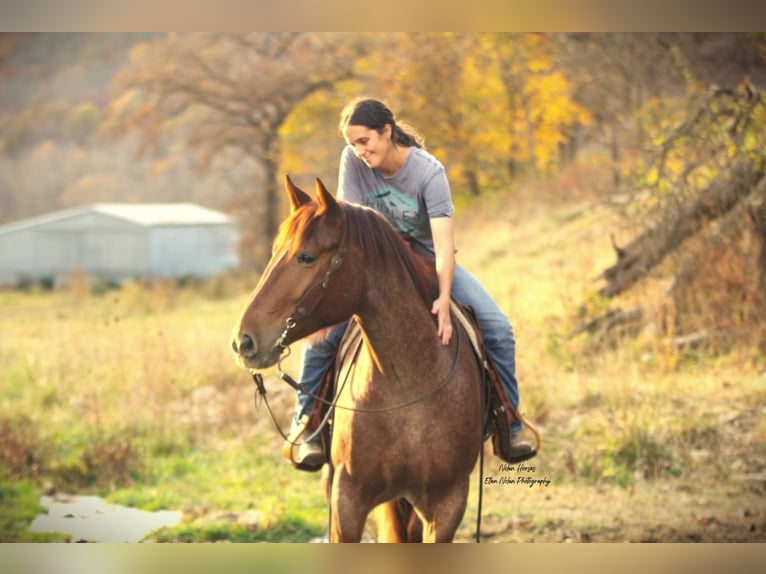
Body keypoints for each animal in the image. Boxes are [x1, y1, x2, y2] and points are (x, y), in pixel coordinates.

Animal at [230, 177, 486, 544]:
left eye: (306, 257)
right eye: (275, 251)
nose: (243, 341)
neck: (408, 385)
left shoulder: (448, 505)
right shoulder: (346, 502)